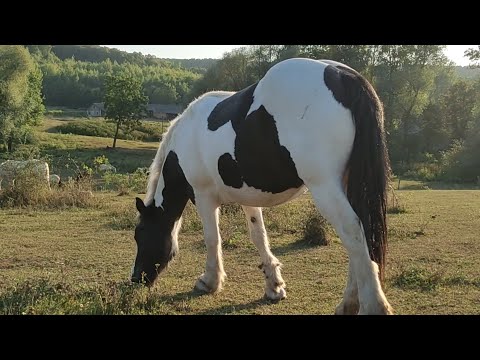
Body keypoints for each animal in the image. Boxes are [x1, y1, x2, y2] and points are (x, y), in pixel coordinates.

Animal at [132, 58, 394, 316]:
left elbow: (212, 238)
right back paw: (348, 303)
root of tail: (341, 75)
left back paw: (372, 305)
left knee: (353, 233)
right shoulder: (248, 197)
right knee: (361, 237)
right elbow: (258, 235)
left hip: (325, 187)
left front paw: (210, 281)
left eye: (140, 234)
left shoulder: (203, 197)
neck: (183, 140)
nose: (136, 279)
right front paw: (274, 285)